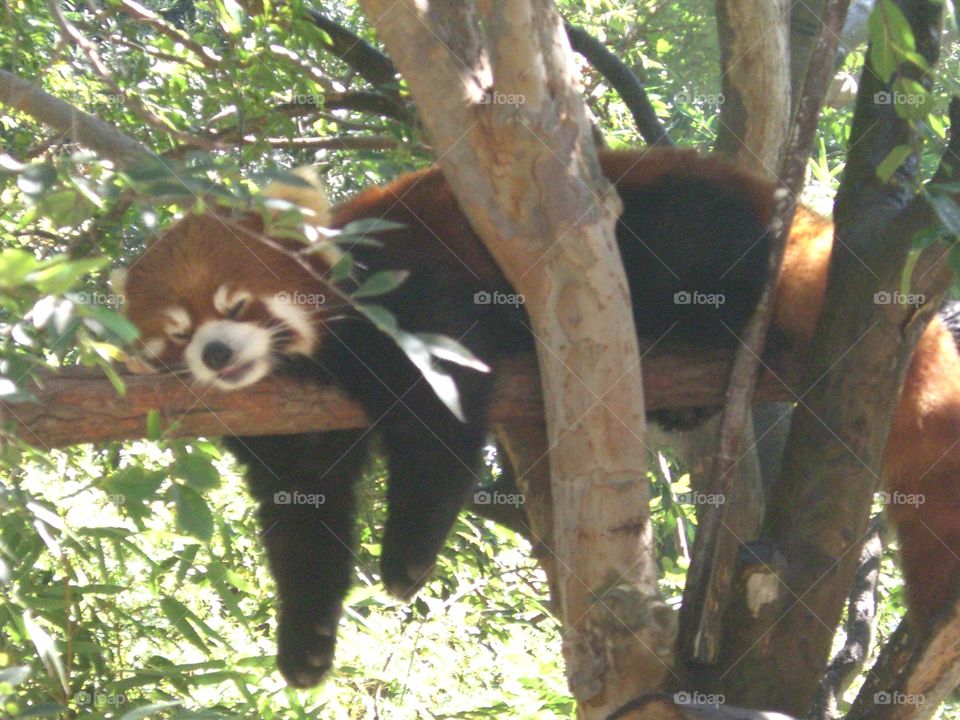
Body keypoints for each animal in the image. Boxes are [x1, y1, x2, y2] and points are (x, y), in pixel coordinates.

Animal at [118, 148, 960, 688]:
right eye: (176, 335)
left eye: (235, 306)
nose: (217, 354)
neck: (305, 365)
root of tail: (789, 209)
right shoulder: (286, 428)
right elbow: (304, 517)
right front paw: (306, 642)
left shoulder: (412, 293)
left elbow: (439, 422)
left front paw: (406, 557)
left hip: (671, 218)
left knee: (685, 253)